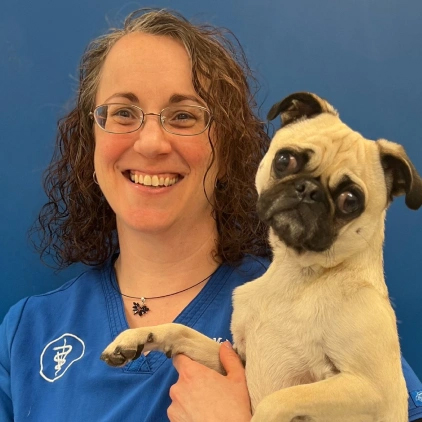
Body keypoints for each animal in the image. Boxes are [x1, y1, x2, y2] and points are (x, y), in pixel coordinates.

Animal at [101, 92, 422, 421]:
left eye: (350, 201)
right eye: (284, 160)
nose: (309, 190)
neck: (296, 277)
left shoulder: (373, 390)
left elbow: (280, 399)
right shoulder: (238, 360)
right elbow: (183, 331)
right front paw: (139, 338)